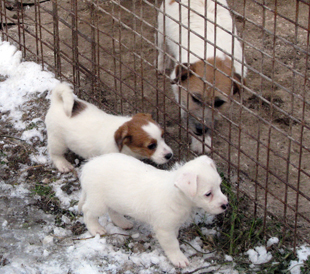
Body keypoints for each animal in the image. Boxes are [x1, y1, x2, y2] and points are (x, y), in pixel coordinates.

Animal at [44, 81, 173, 172]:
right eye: (151, 146)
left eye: (162, 136)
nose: (170, 155)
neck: (125, 148)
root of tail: (57, 102)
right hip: (57, 141)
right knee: (54, 153)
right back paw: (63, 164)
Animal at [77, 153, 228, 268]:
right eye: (208, 194)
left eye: (219, 186)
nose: (225, 205)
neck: (176, 195)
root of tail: (87, 166)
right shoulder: (164, 230)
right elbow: (172, 244)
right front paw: (178, 258)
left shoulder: (173, 224)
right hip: (98, 202)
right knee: (87, 211)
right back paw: (95, 228)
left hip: (114, 200)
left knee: (113, 211)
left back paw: (123, 223)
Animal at [157, 0, 247, 154]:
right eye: (195, 98)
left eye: (219, 103)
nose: (201, 129)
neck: (213, 56)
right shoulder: (178, 85)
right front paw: (200, 143)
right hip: (162, 29)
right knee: (162, 49)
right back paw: (161, 65)